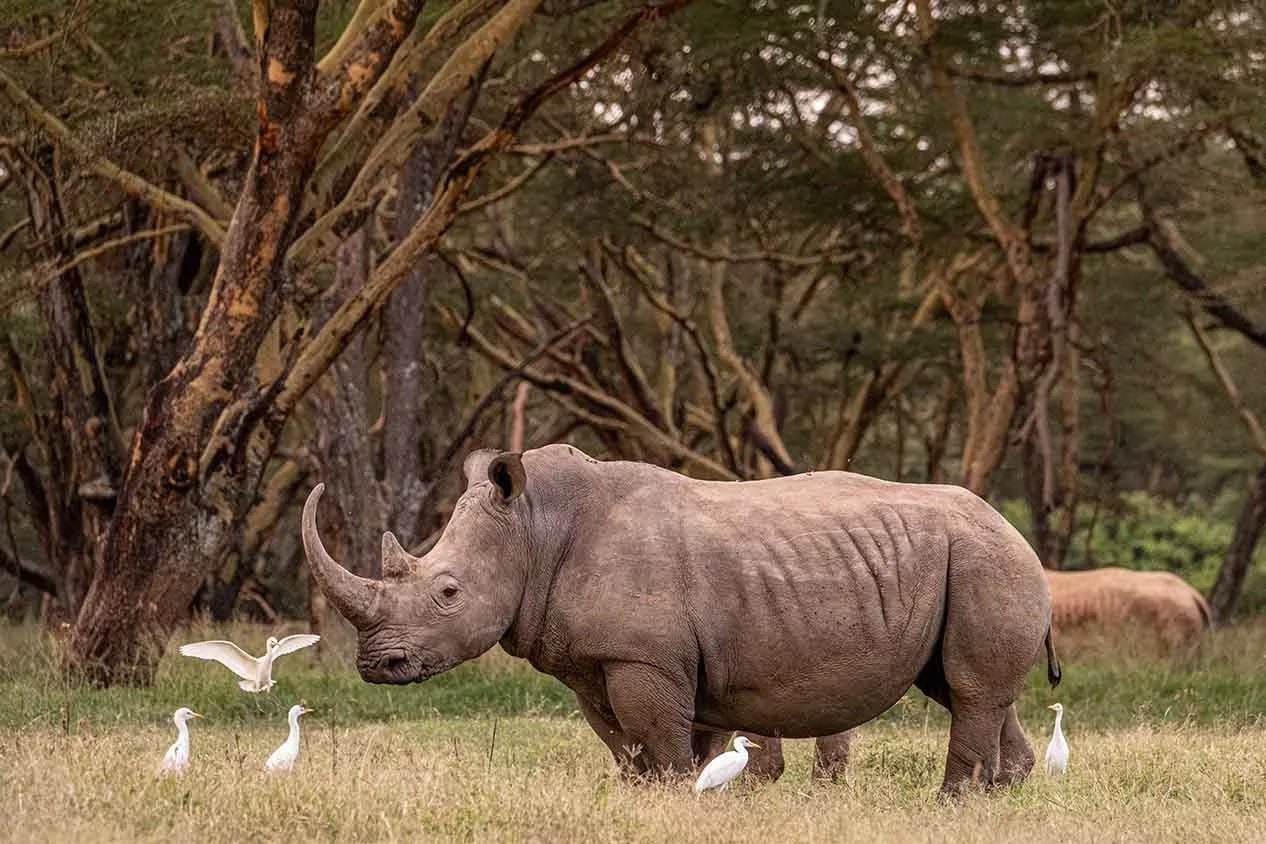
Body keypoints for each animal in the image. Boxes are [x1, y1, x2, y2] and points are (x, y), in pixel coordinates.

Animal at [302, 444, 1060, 795]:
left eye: (449, 592)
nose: (376, 666)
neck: (534, 528)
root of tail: (1019, 532)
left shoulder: (645, 657)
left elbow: (663, 741)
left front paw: (677, 799)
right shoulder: (596, 661)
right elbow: (628, 744)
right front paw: (644, 798)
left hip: (988, 559)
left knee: (969, 689)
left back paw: (951, 804)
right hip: (970, 562)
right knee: (968, 691)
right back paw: (1000, 798)